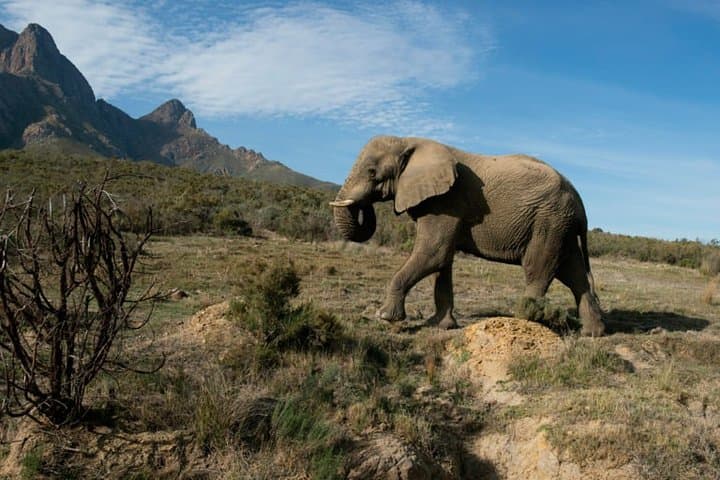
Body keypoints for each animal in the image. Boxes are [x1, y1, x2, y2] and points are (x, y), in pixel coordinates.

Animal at [330, 136, 604, 336]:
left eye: (372, 172)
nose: (364, 204)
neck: (409, 141)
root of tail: (579, 201)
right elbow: (442, 261)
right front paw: (440, 325)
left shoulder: (446, 202)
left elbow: (434, 253)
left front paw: (385, 317)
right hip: (562, 226)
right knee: (573, 274)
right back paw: (593, 333)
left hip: (549, 220)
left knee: (538, 269)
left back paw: (522, 321)